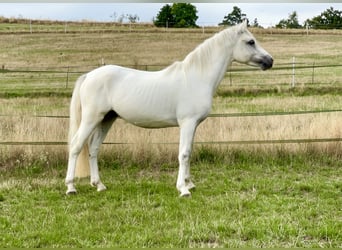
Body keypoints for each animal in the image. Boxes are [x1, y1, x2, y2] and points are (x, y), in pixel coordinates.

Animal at [65, 21, 272, 197]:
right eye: (251, 41)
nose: (270, 61)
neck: (197, 78)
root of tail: (89, 75)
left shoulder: (193, 125)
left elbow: (189, 152)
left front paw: (189, 184)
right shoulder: (187, 123)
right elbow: (184, 153)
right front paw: (183, 189)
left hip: (107, 119)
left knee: (93, 148)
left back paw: (99, 185)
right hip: (91, 118)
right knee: (76, 146)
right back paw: (71, 187)